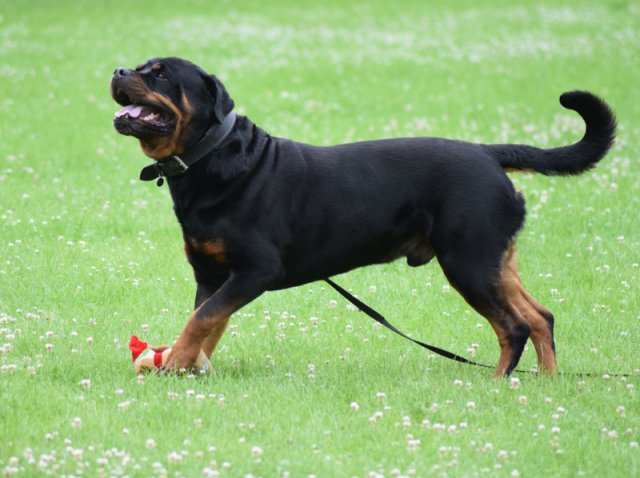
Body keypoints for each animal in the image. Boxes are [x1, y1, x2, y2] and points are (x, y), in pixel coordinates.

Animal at [110, 57, 616, 378]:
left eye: (160, 74)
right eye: (139, 66)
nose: (118, 71)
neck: (211, 159)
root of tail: (488, 154)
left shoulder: (255, 270)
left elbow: (202, 320)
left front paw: (176, 363)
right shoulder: (212, 274)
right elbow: (209, 321)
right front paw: (193, 367)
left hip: (468, 262)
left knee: (514, 327)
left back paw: (497, 384)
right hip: (494, 261)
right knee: (541, 317)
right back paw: (547, 383)